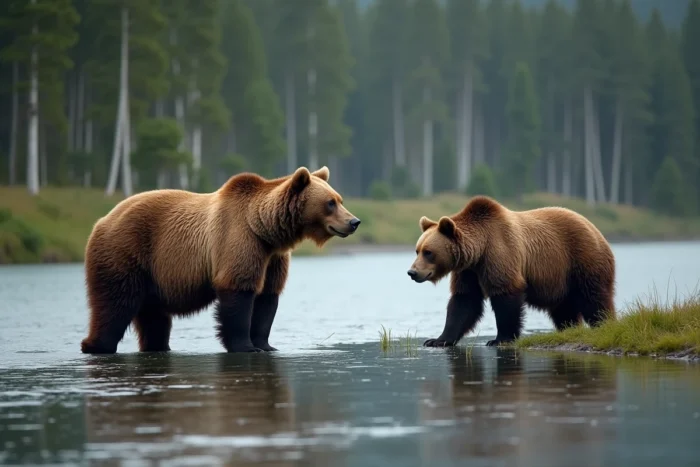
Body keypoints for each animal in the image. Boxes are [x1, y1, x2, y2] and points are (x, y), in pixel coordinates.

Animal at [80, 166, 361, 355]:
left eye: (339, 199)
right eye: (330, 203)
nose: (354, 221)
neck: (265, 230)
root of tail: (102, 220)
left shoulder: (272, 258)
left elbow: (267, 299)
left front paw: (266, 344)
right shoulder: (239, 241)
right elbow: (238, 292)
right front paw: (245, 346)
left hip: (153, 274)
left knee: (153, 317)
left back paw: (157, 346)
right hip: (126, 252)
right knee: (114, 303)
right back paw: (95, 345)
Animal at [406, 195, 615, 347]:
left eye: (428, 252)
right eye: (417, 250)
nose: (412, 272)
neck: (480, 251)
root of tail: (594, 227)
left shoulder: (501, 253)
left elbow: (505, 295)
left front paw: (500, 339)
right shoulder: (469, 271)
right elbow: (464, 301)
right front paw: (437, 340)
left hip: (581, 259)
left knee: (594, 297)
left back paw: (603, 325)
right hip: (559, 278)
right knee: (564, 309)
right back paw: (569, 329)